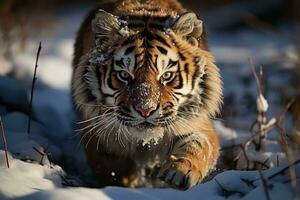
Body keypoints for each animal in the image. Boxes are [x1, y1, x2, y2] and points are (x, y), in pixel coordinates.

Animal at [72, 0, 223, 189]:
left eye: (167, 75)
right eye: (124, 75)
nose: (145, 110)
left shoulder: (198, 122)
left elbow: (198, 144)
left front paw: (180, 172)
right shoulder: (98, 134)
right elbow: (113, 169)